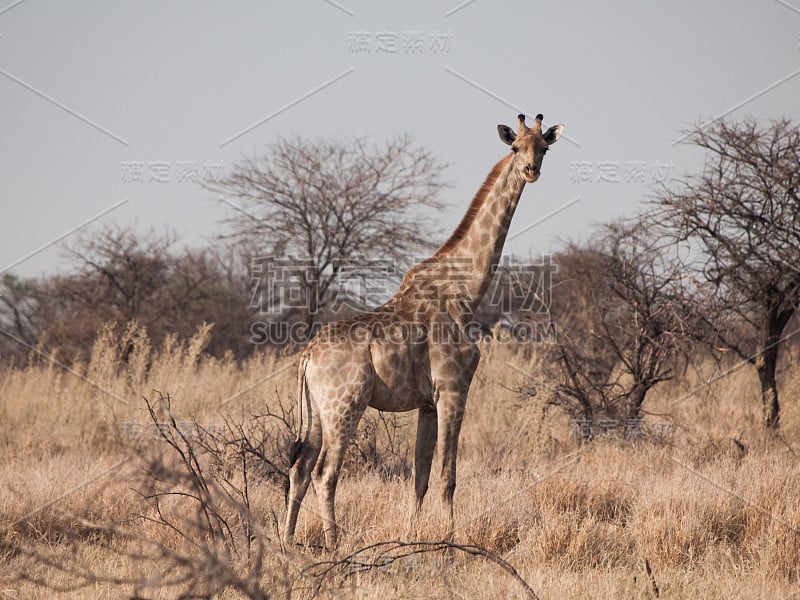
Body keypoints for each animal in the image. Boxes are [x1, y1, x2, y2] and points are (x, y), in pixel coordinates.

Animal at [284, 112, 564, 548]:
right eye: (516, 147)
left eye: (545, 148)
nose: (530, 170)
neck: (466, 289)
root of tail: (307, 357)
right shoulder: (453, 388)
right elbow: (448, 476)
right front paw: (450, 545)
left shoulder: (427, 402)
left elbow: (420, 477)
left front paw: (412, 538)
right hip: (344, 405)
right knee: (324, 474)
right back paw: (334, 545)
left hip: (315, 411)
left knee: (298, 470)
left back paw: (285, 544)